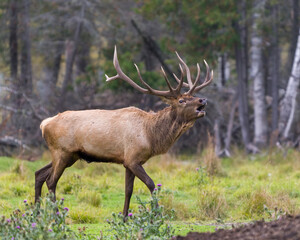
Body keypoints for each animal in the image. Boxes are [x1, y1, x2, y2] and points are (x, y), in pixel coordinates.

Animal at [34, 46, 213, 217]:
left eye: (193, 96)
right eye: (182, 100)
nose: (203, 99)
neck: (151, 135)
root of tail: (44, 124)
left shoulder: (128, 161)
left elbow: (128, 190)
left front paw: (125, 217)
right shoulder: (133, 158)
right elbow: (151, 184)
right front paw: (156, 214)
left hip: (70, 155)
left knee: (39, 173)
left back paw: (36, 213)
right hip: (62, 151)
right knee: (51, 180)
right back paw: (56, 215)